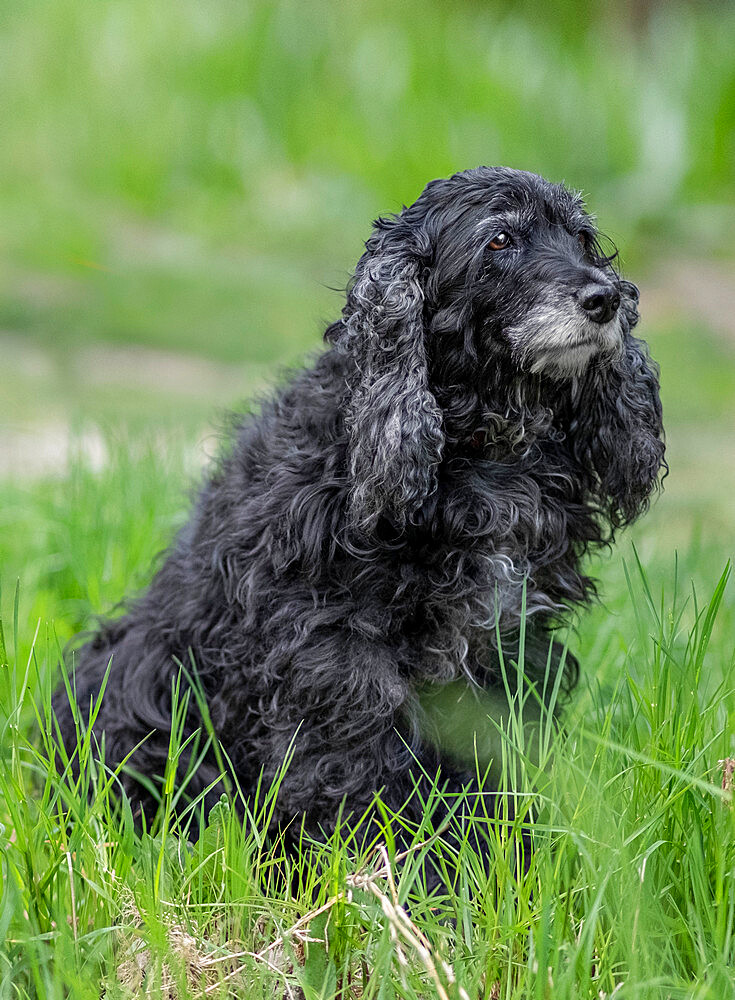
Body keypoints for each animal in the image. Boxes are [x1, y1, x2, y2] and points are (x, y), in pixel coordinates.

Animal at [53, 168, 668, 856]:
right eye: (500, 240)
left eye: (584, 238)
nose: (604, 299)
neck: (482, 450)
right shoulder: (335, 652)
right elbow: (354, 772)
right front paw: (383, 867)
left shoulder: (509, 647)